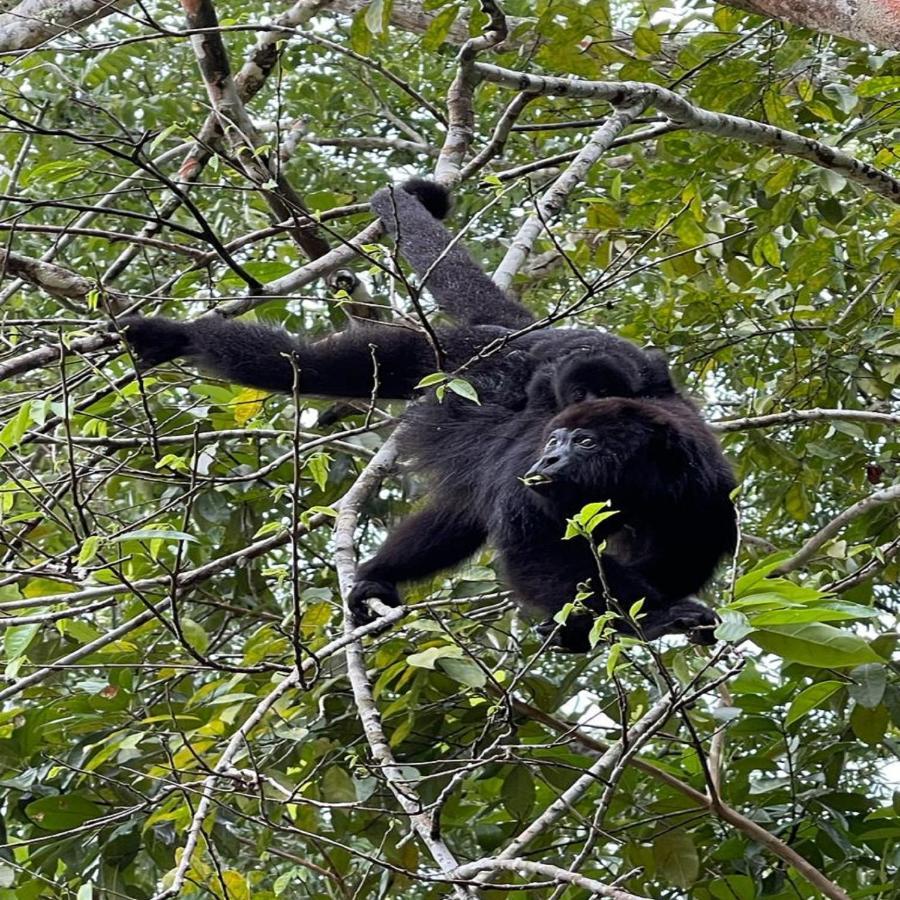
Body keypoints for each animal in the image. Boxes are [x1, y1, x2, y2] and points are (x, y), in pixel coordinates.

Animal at [121, 179, 740, 652]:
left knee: (453, 521)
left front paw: (623, 616)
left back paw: (380, 578)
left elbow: (681, 558)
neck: (637, 485)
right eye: (557, 441)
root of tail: (510, 339)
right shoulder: (531, 491)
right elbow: (541, 556)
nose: (549, 458)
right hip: (445, 357)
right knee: (315, 365)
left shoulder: (705, 487)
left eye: (586, 442)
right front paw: (650, 618)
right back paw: (183, 338)